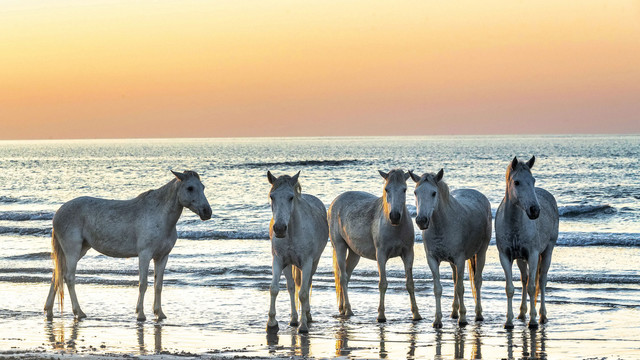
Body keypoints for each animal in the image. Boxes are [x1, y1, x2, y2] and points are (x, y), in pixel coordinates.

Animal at [45, 171, 210, 320]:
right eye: (190, 188)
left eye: (203, 187)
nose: (207, 212)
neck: (160, 216)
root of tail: (58, 213)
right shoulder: (145, 255)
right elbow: (143, 284)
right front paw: (141, 314)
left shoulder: (162, 257)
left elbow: (158, 285)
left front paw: (159, 313)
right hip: (72, 250)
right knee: (69, 277)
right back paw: (78, 312)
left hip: (79, 250)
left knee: (57, 275)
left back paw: (49, 310)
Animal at [264, 170, 328, 334]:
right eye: (272, 196)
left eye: (291, 197)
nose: (279, 228)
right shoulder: (279, 261)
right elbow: (274, 289)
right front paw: (271, 323)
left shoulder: (307, 263)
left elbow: (304, 293)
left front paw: (303, 326)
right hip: (288, 265)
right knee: (292, 287)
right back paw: (293, 319)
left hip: (314, 263)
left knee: (307, 284)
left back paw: (307, 316)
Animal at [328, 170, 422, 322]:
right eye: (386, 189)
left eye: (404, 189)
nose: (395, 216)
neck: (394, 227)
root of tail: (333, 203)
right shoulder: (381, 255)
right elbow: (383, 284)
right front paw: (381, 315)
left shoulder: (408, 254)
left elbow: (410, 284)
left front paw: (416, 314)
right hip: (339, 246)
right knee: (342, 277)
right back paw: (348, 310)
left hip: (354, 253)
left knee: (347, 275)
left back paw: (342, 308)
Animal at [408, 170, 492, 328]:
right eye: (416, 192)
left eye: (434, 193)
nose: (421, 220)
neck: (441, 225)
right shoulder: (433, 260)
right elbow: (438, 289)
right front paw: (437, 320)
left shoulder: (460, 260)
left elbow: (460, 288)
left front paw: (463, 318)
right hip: (453, 262)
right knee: (455, 280)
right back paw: (454, 313)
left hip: (481, 253)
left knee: (477, 281)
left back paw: (478, 315)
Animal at [496, 157, 560, 330]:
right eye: (516, 182)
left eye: (533, 180)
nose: (534, 210)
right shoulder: (505, 256)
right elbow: (510, 288)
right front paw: (508, 322)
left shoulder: (533, 255)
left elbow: (532, 287)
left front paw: (533, 321)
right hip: (520, 259)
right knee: (524, 279)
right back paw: (521, 313)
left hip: (547, 251)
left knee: (542, 280)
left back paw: (542, 316)